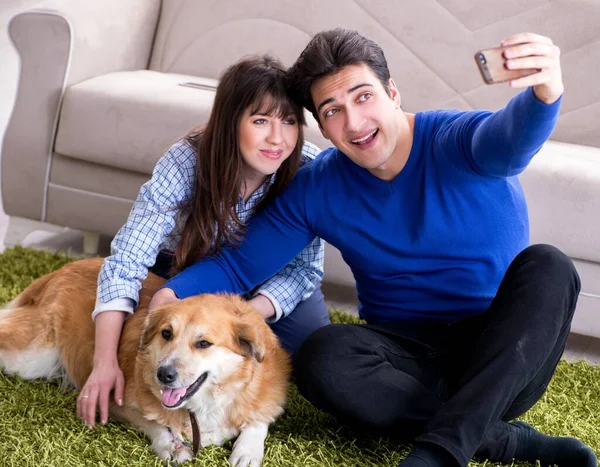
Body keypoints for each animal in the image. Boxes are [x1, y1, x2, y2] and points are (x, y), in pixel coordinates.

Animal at [0, 258, 290, 466]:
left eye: (204, 343)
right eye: (166, 333)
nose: (164, 375)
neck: (204, 404)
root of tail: (62, 270)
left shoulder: (268, 394)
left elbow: (258, 419)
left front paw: (247, 451)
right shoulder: (113, 401)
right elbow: (154, 422)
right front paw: (169, 444)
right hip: (33, 356)